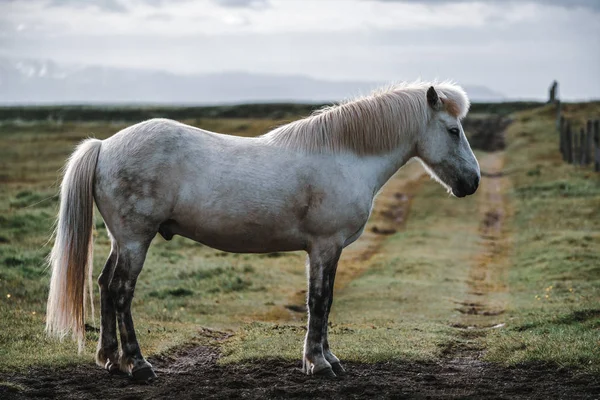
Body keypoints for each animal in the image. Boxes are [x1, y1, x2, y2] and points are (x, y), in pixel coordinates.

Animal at [45, 80, 478, 382]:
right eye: (453, 130)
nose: (472, 182)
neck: (345, 155)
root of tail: (105, 145)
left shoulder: (325, 250)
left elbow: (323, 302)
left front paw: (327, 358)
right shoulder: (325, 246)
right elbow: (320, 301)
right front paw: (319, 363)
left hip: (122, 240)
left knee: (104, 285)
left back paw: (110, 360)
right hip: (136, 240)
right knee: (120, 291)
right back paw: (138, 365)